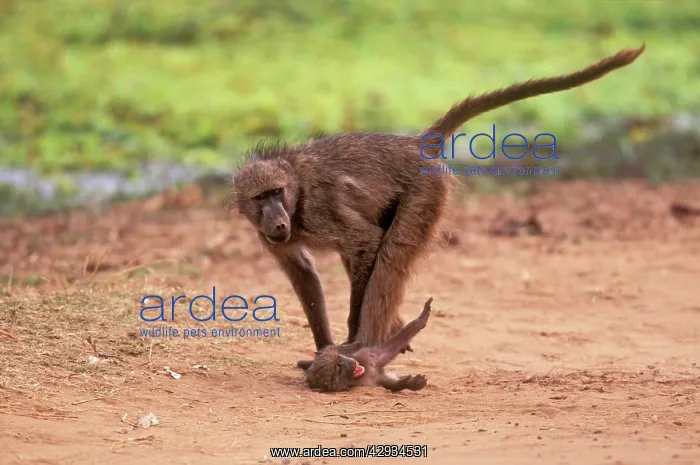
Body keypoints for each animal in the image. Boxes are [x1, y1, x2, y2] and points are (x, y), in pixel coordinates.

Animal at [231, 45, 645, 357]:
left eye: (277, 193)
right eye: (261, 197)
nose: (279, 222)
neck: (296, 192)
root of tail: (414, 145)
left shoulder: (320, 210)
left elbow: (365, 245)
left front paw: (347, 342)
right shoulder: (271, 238)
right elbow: (304, 274)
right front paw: (323, 346)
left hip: (426, 192)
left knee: (389, 255)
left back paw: (366, 343)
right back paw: (390, 333)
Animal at [298, 297, 434, 392]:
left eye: (339, 359)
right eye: (338, 369)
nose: (351, 362)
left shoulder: (365, 356)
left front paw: (422, 318)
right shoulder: (369, 380)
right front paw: (408, 383)